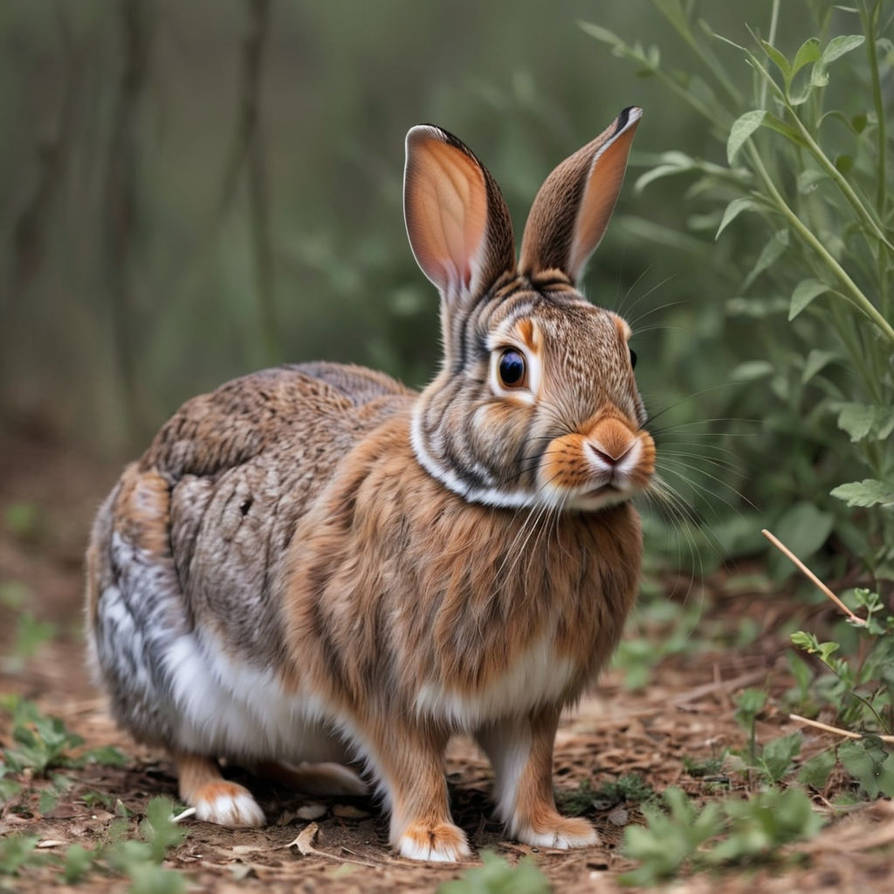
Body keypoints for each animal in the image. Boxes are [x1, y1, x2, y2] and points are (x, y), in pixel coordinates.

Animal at [85, 106, 655, 862]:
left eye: (628, 351)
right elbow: (412, 761)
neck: (510, 506)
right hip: (163, 650)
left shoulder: (530, 699)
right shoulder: (377, 678)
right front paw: (432, 838)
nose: (615, 447)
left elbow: (529, 768)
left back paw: (328, 778)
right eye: (511, 367)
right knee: (186, 744)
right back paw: (226, 801)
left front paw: (556, 830)